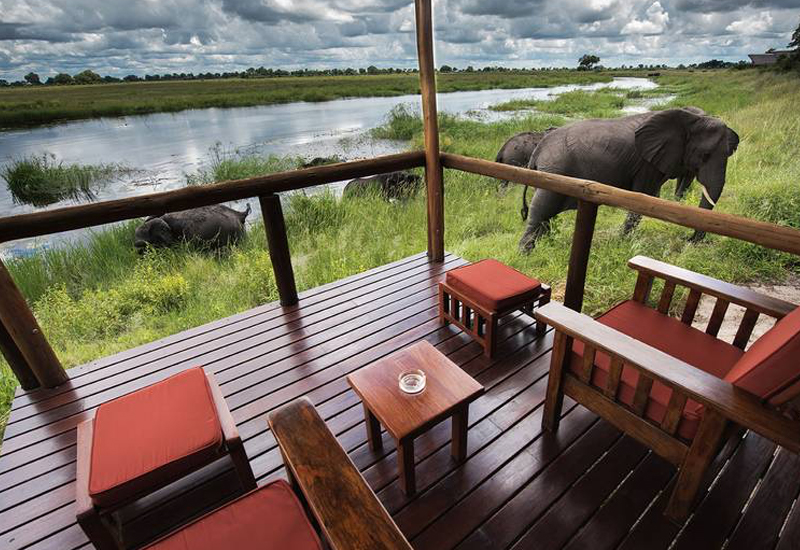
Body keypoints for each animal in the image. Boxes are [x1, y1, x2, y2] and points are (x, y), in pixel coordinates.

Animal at [520, 106, 736, 253]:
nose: (689, 240)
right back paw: (526, 253)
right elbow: (642, 198)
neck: (691, 117)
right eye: (705, 155)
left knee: (546, 214)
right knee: (541, 208)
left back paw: (547, 245)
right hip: (555, 170)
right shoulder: (646, 164)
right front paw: (623, 241)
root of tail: (538, 150)